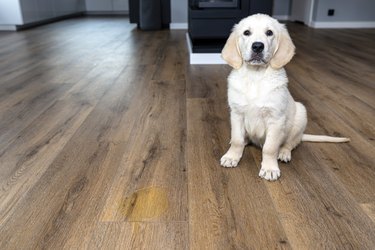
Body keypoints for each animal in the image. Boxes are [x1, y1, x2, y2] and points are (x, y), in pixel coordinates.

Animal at [220, 14, 350, 182]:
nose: (257, 46)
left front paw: (269, 168)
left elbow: (269, 148)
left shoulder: (276, 119)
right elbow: (237, 139)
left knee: (290, 143)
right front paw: (232, 156)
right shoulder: (236, 114)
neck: (256, 76)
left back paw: (283, 153)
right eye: (246, 33)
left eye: (269, 33)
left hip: (300, 115)